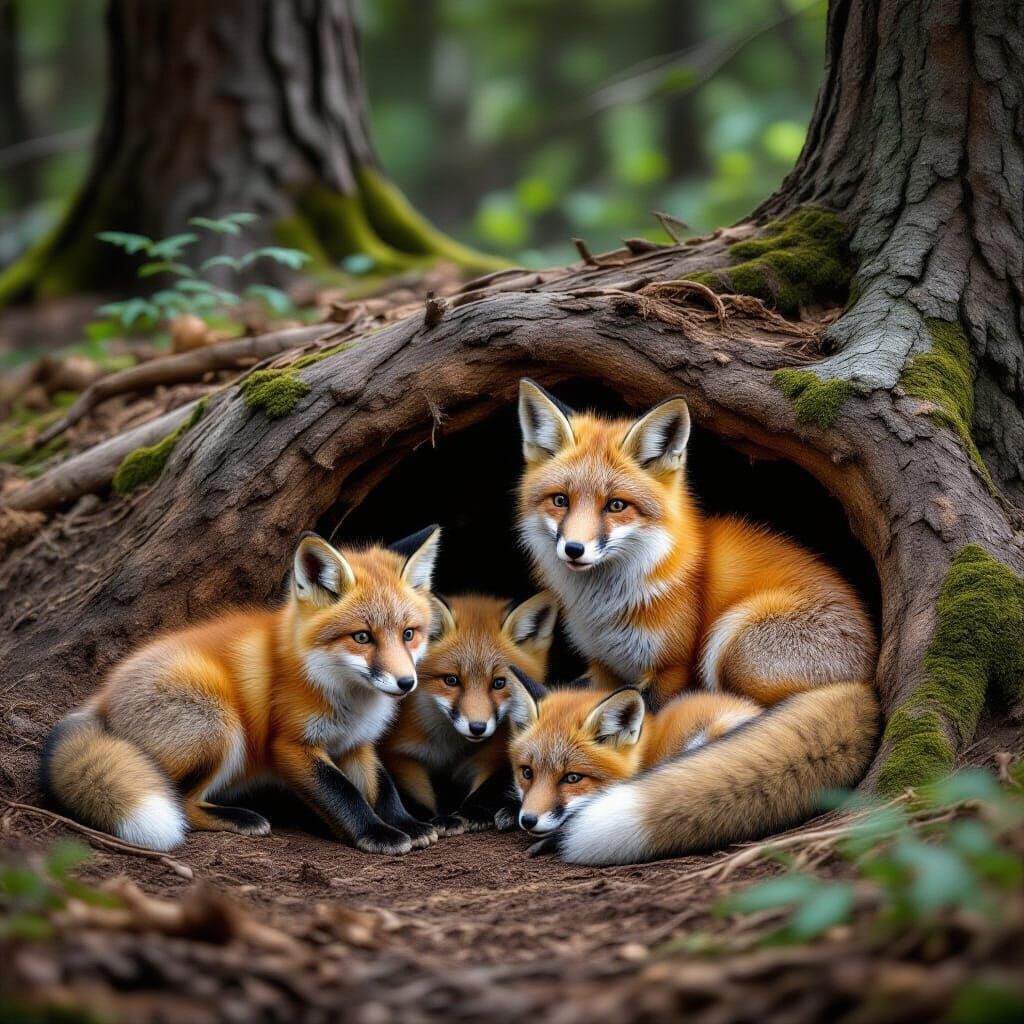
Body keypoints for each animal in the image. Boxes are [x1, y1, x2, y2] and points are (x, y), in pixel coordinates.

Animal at [40, 527, 444, 855]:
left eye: (409, 634)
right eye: (362, 637)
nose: (405, 683)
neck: (347, 697)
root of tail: (100, 698)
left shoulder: (356, 743)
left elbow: (382, 786)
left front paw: (409, 824)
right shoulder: (290, 746)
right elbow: (343, 793)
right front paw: (378, 834)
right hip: (218, 726)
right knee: (180, 802)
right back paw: (242, 818)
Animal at [381, 592, 556, 835]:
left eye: (499, 683)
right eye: (451, 680)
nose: (478, 727)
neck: (450, 749)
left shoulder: (492, 754)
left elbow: (486, 789)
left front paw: (474, 812)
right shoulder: (399, 755)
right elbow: (417, 797)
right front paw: (430, 820)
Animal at [515, 379, 880, 863]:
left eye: (616, 505)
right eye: (560, 501)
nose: (574, 549)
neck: (606, 609)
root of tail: (867, 684)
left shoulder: (672, 666)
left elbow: (651, 728)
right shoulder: (603, 665)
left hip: (731, 644)